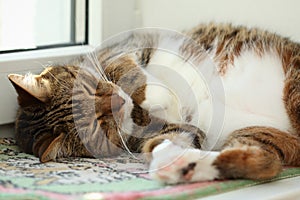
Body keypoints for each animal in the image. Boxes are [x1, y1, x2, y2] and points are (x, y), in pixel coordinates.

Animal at [7, 23, 300, 183]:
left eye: (90, 90)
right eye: (97, 127)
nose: (117, 101)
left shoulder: (124, 48)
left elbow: (128, 70)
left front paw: (161, 97)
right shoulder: (169, 131)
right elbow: (165, 139)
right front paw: (167, 154)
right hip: (255, 134)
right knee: (265, 162)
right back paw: (184, 168)